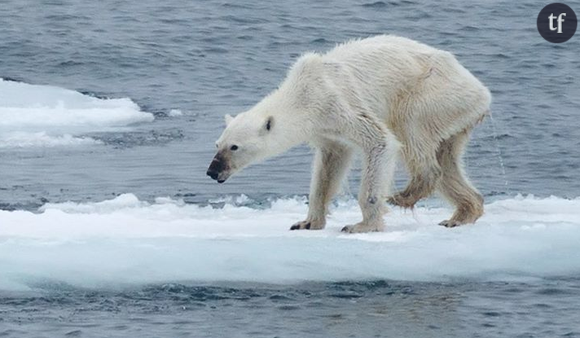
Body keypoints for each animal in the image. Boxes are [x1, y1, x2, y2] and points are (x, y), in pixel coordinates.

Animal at [207, 35, 490, 234]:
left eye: (234, 147)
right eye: (217, 143)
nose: (212, 171)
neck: (303, 93)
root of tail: (482, 91)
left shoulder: (337, 103)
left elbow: (380, 141)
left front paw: (362, 225)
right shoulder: (325, 129)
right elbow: (329, 166)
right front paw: (307, 222)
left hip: (432, 93)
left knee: (411, 129)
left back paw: (404, 195)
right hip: (454, 115)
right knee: (447, 159)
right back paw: (461, 214)